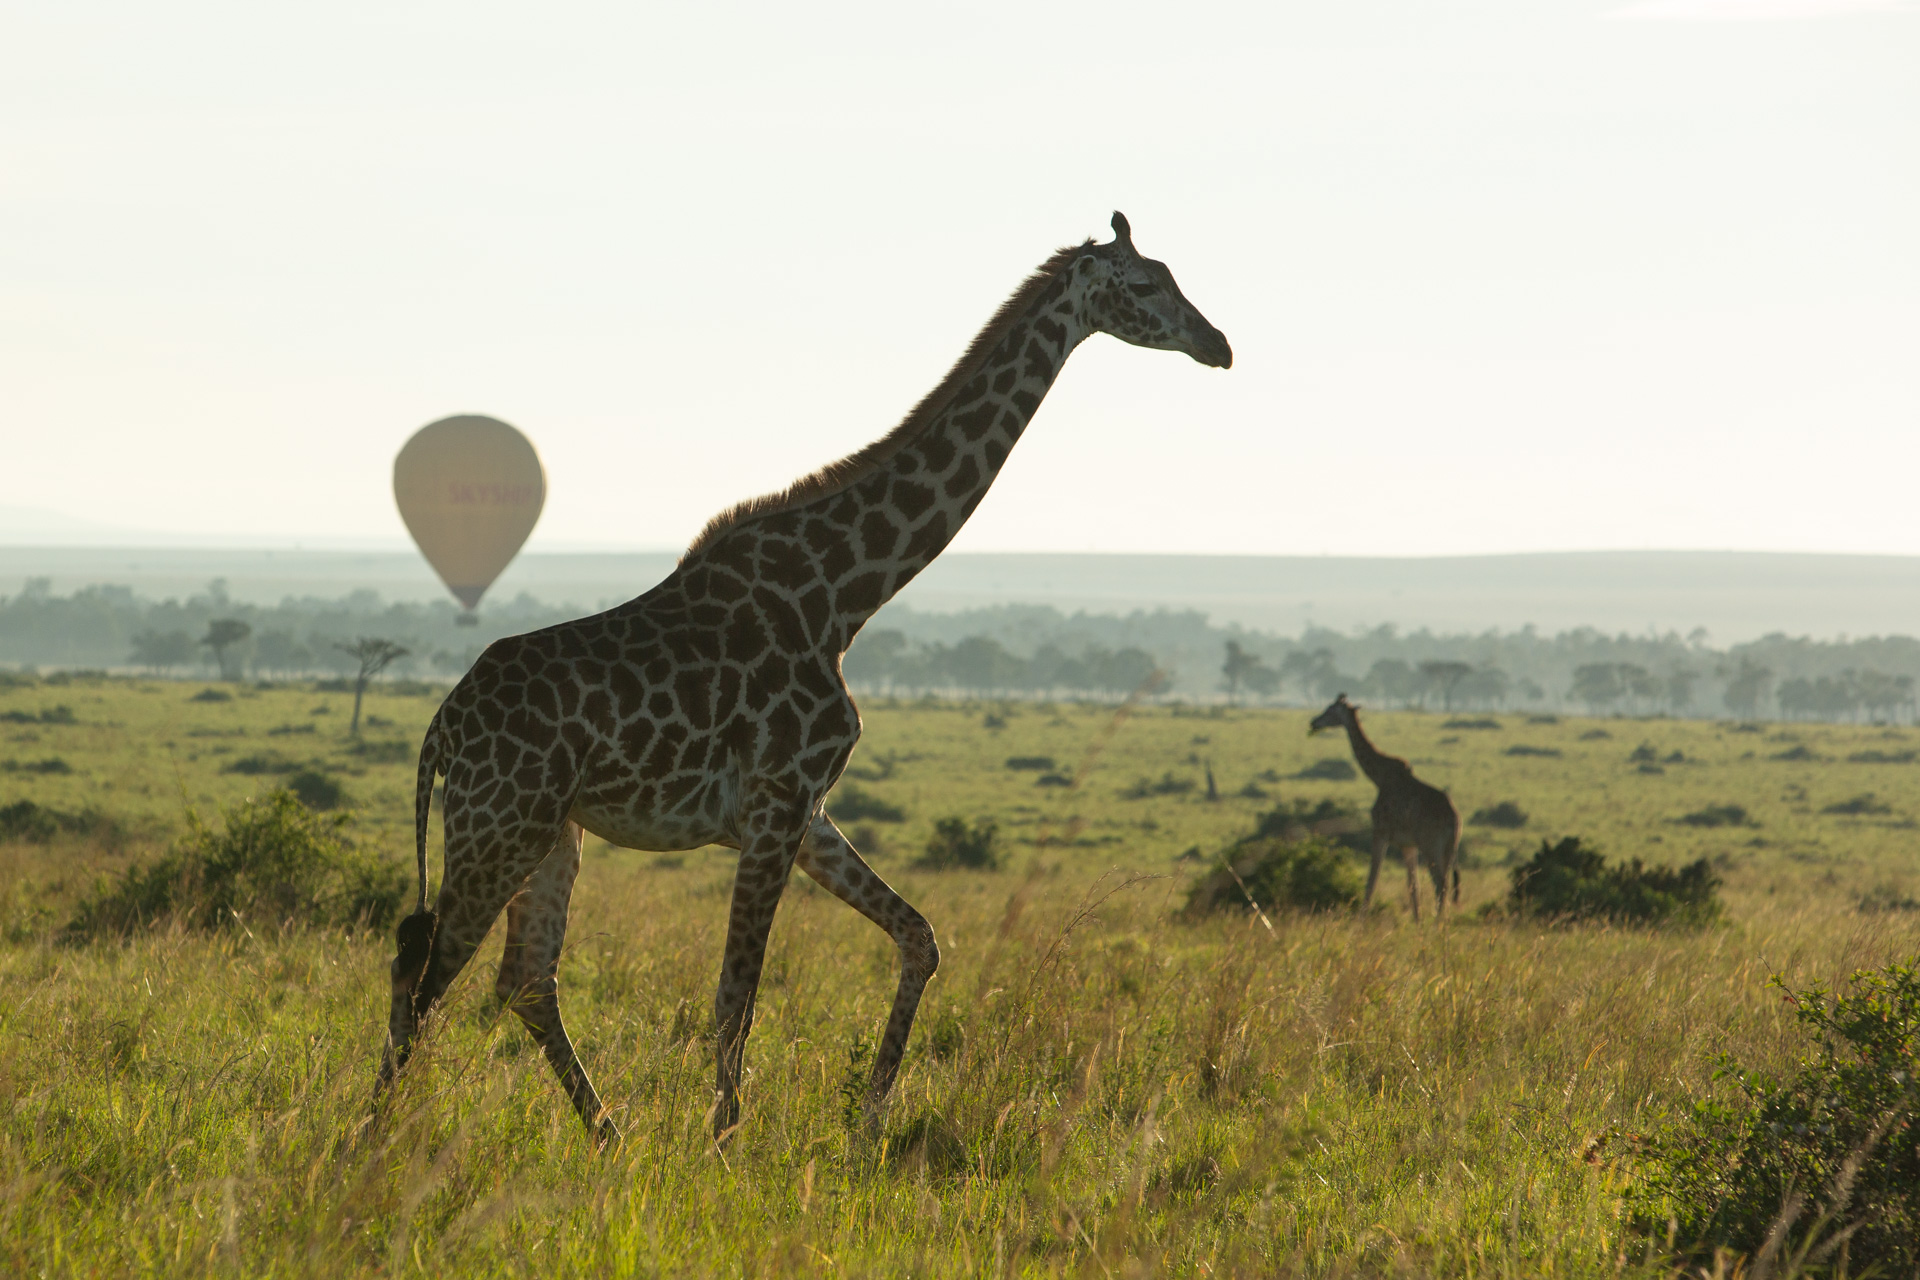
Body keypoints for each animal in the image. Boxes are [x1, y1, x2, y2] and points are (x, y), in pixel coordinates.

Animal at [378, 213, 1228, 1151]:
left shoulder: (807, 810)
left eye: (1174, 274)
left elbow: (920, 938)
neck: (844, 595)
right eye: (1144, 285)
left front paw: (867, 1119)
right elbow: (736, 998)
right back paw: (374, 1143)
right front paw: (724, 1148)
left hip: (552, 830)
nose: (1218, 345)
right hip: (500, 826)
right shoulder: (774, 806)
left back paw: (607, 1136)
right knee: (424, 972)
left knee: (523, 981)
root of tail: (442, 727)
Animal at [1313, 690, 1459, 921]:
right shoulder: (1407, 844)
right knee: (1444, 885)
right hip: (1449, 848)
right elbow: (1413, 887)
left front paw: (1360, 923)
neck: (1379, 777)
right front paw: (1417, 923)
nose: (1314, 722)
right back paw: (1442, 923)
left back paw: (1437, 925)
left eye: (1330, 709)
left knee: (1441, 885)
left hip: (1431, 846)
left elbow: (1371, 881)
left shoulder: (1380, 831)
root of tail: (1453, 819)